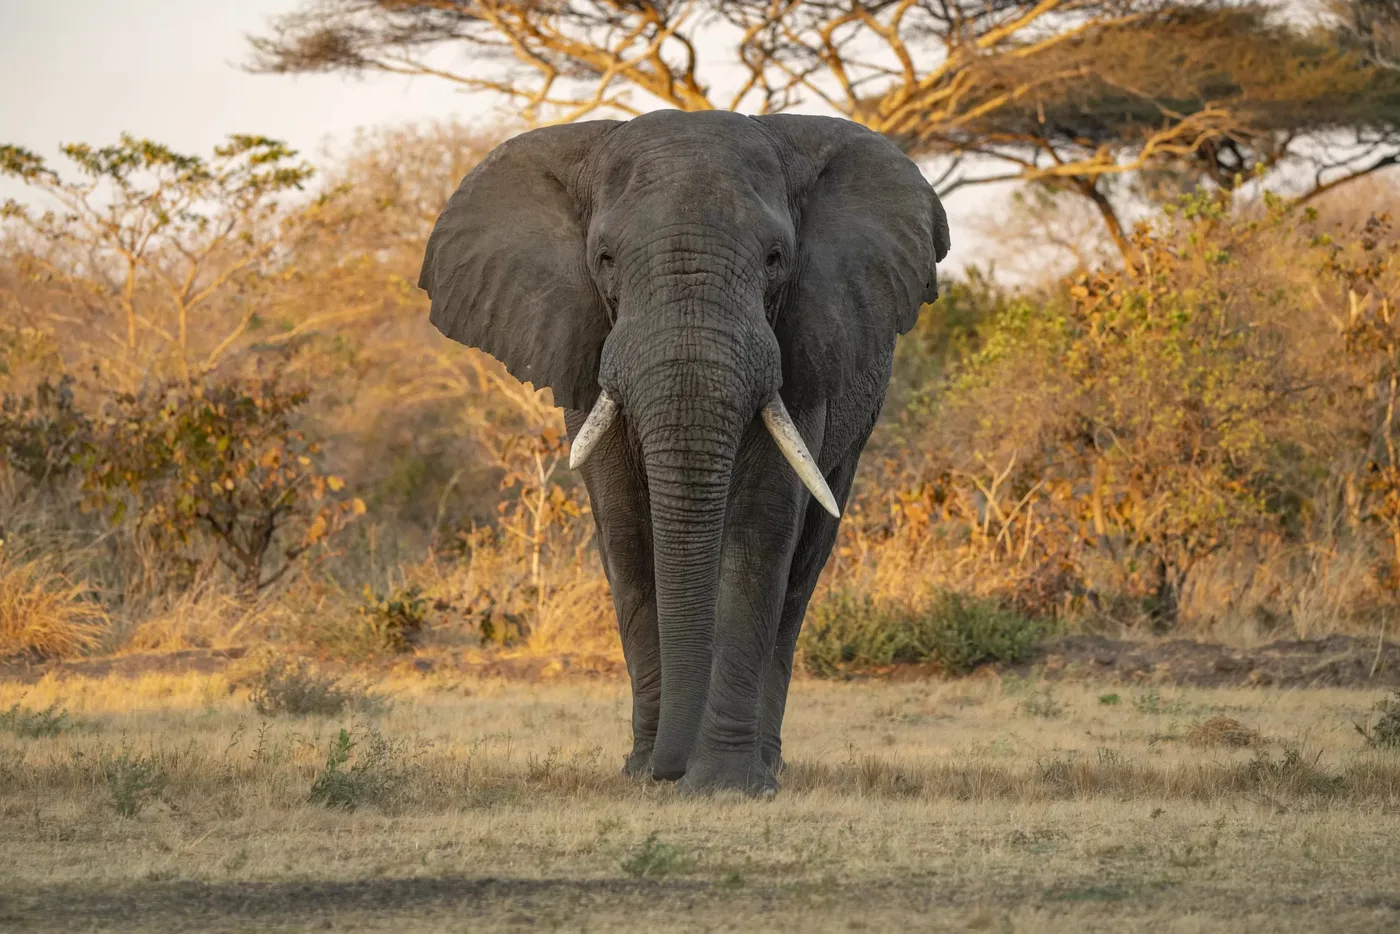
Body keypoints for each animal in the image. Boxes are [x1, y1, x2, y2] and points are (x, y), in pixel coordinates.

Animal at [418, 109, 950, 796]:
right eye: (604, 259)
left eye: (776, 259)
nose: (670, 770)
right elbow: (625, 533)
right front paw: (645, 772)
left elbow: (760, 532)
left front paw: (725, 784)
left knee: (803, 567)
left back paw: (768, 764)